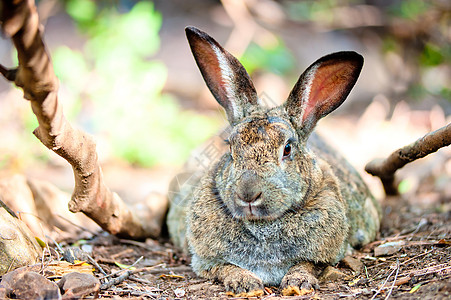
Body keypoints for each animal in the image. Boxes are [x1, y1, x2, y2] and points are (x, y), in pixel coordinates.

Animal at [166, 26, 382, 296]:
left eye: (287, 149)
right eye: (230, 147)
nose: (248, 194)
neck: (263, 224)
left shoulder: (327, 255)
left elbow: (307, 264)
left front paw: (298, 283)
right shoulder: (206, 261)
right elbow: (226, 267)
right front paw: (245, 284)